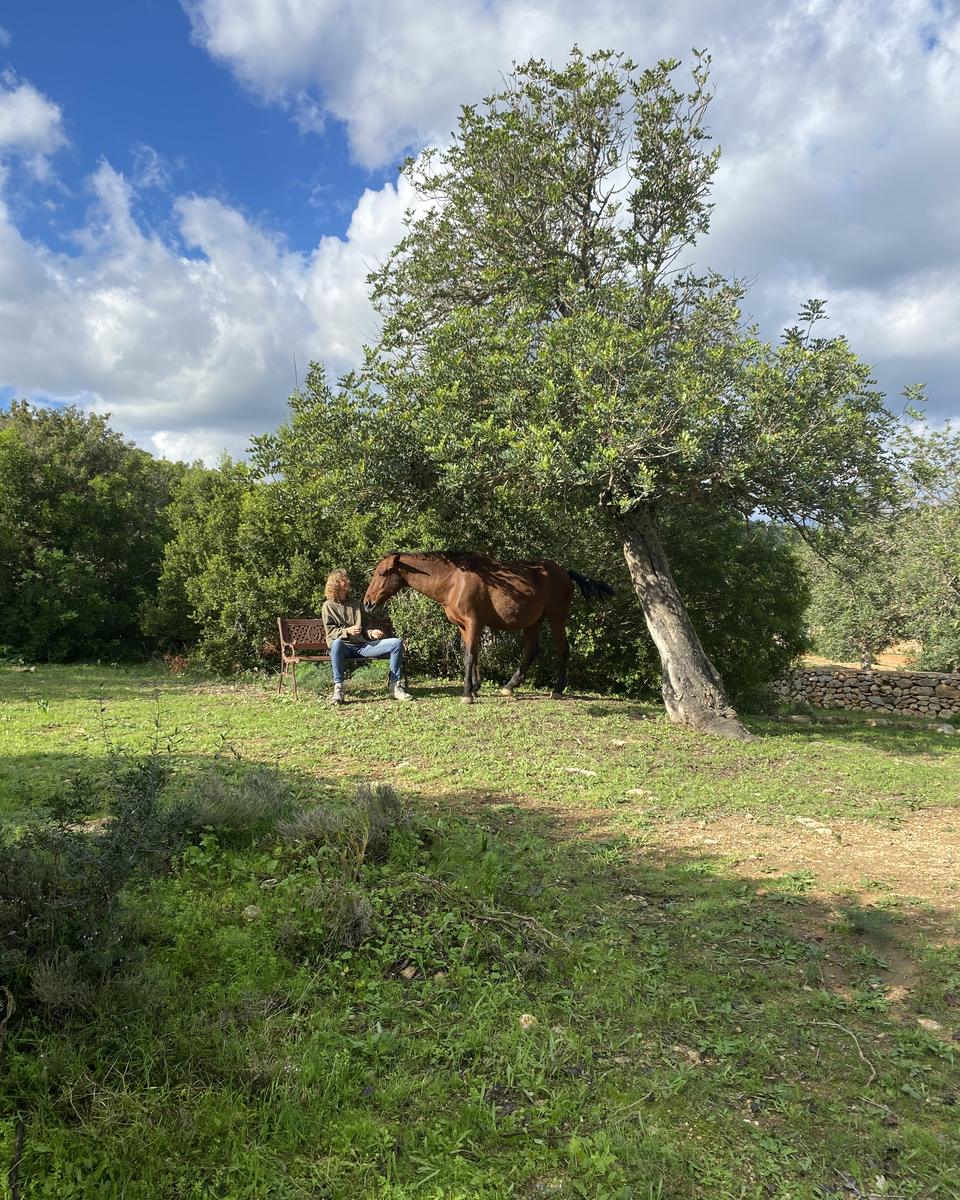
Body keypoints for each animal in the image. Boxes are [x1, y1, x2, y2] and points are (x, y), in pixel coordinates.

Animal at [363, 551, 614, 703]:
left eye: (382, 573)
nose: (367, 603)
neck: (454, 581)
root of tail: (564, 572)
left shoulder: (473, 623)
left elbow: (469, 656)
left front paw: (467, 693)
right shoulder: (464, 627)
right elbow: (471, 654)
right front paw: (474, 686)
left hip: (556, 619)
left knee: (562, 651)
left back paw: (557, 689)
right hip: (534, 623)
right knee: (530, 652)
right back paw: (510, 686)